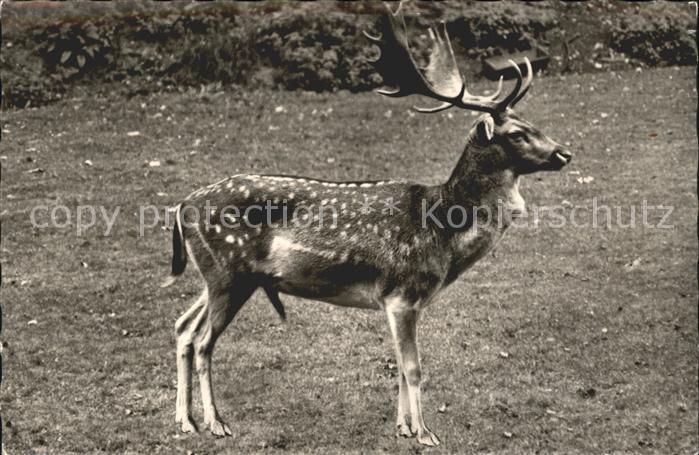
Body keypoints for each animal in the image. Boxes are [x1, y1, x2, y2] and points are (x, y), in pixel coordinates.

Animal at [162, 3, 571, 447]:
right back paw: (215, 422)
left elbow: (399, 366)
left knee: (183, 328)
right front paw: (424, 432)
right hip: (228, 273)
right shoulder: (403, 292)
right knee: (204, 342)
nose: (564, 153)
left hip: (220, 276)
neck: (443, 233)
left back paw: (185, 420)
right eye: (516, 134)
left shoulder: (397, 301)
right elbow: (413, 368)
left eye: (532, 123)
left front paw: (403, 427)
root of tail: (182, 205)